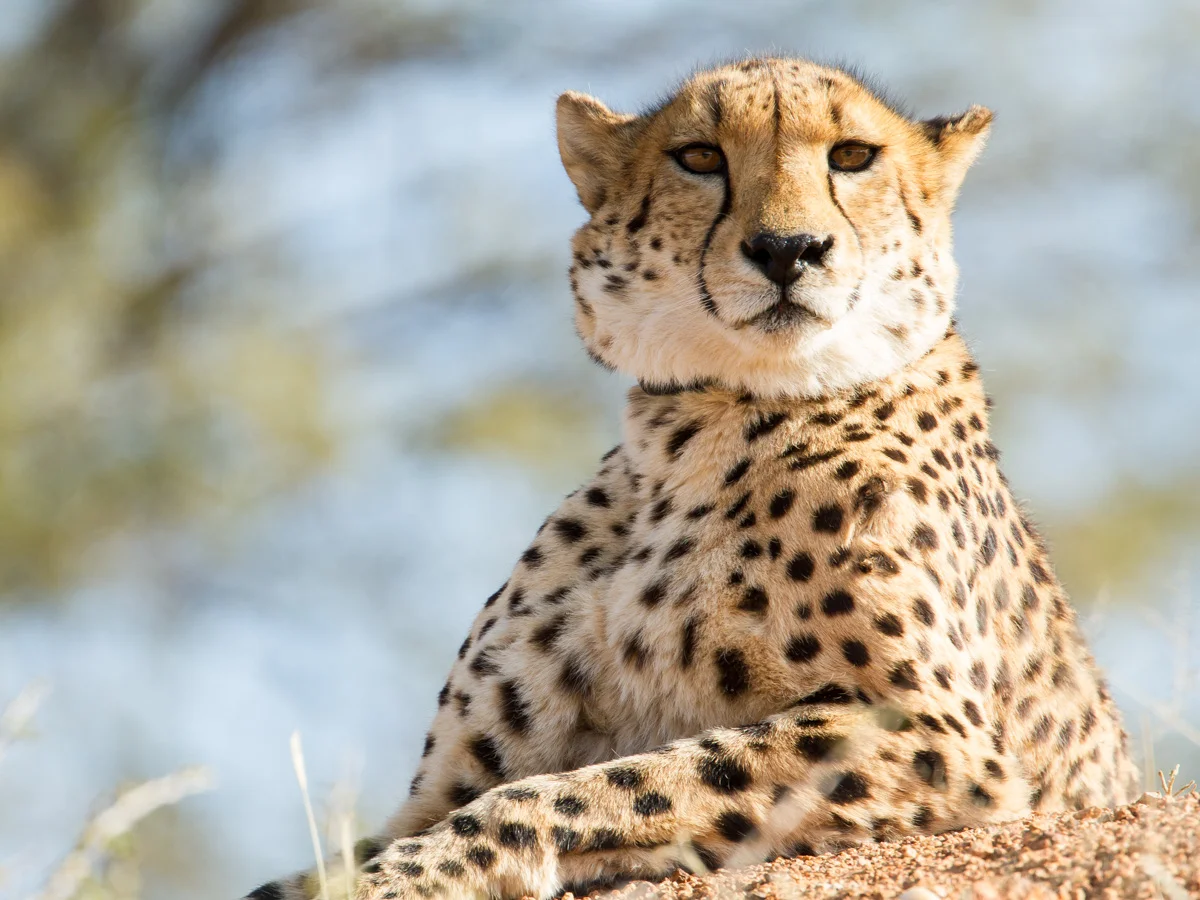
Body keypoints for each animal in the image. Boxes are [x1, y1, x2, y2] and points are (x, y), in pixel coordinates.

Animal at [244, 56, 1140, 900]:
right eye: (700, 156)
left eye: (853, 155)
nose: (788, 250)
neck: (703, 425)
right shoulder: (440, 785)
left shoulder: (936, 731)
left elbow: (605, 783)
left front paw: (414, 873)